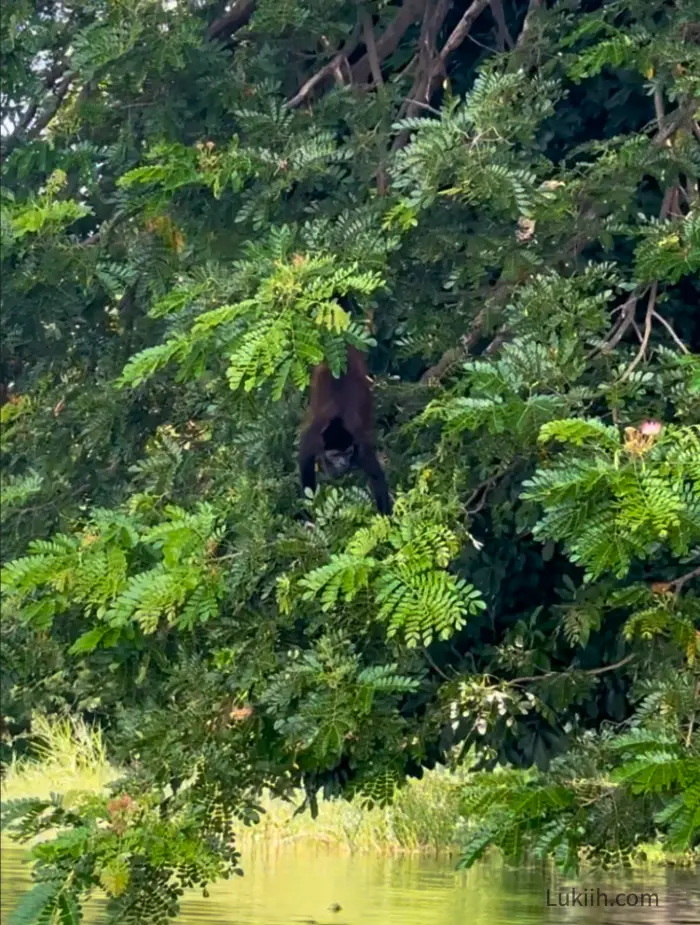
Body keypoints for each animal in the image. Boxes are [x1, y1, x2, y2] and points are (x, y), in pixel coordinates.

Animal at [298, 342, 392, 512]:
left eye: (347, 453)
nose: (343, 463)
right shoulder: (313, 440)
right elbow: (305, 463)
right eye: (336, 455)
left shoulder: (359, 446)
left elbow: (377, 477)